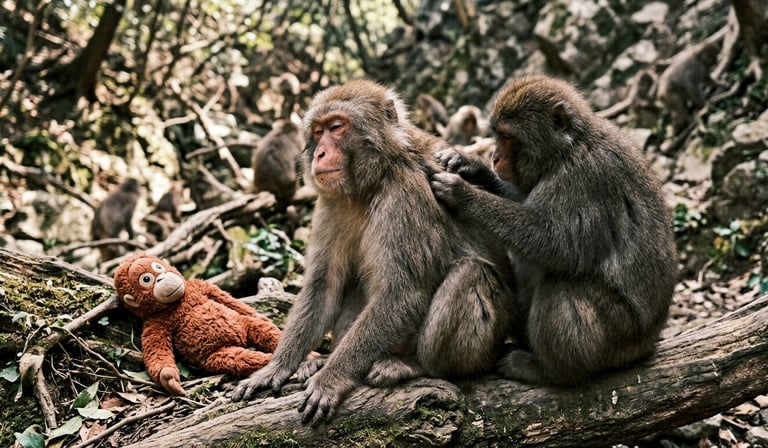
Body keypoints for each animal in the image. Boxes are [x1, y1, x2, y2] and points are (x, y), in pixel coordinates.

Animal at [231, 79, 514, 425]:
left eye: (337, 127)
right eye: (317, 131)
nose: (319, 153)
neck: (373, 179)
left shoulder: (404, 194)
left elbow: (402, 292)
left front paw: (331, 379)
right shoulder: (332, 201)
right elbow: (323, 286)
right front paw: (276, 368)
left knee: (470, 272)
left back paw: (413, 365)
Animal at [430, 75, 678, 386]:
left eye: (508, 138)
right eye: (497, 137)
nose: (495, 158)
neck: (566, 150)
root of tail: (648, 342)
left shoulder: (582, 180)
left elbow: (558, 246)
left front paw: (463, 194)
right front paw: (469, 166)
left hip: (619, 337)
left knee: (562, 280)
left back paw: (548, 370)